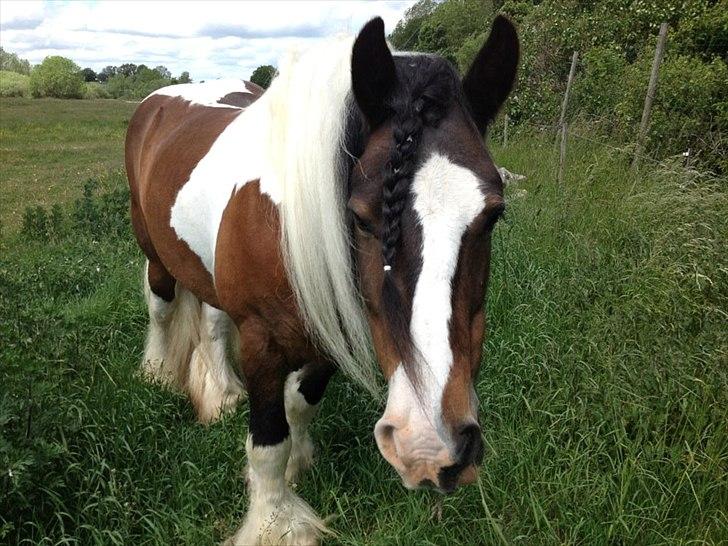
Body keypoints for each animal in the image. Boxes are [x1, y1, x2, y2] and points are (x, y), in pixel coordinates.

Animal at [128, 14, 520, 540]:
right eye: (361, 217)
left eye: (493, 214)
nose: (428, 446)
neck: (290, 228)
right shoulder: (261, 342)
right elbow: (268, 441)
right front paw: (277, 523)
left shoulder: (332, 333)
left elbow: (299, 405)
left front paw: (298, 465)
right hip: (154, 253)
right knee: (161, 307)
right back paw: (156, 372)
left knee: (211, 321)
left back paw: (222, 394)